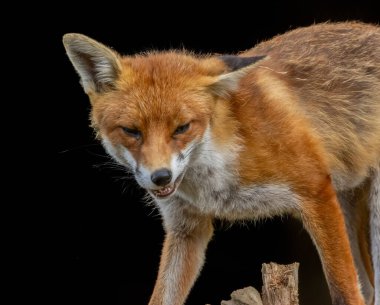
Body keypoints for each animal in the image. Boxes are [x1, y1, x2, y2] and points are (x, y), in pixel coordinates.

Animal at [63, 21, 380, 304]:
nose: (161, 177)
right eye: (131, 131)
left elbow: (345, 292)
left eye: (182, 128)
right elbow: (162, 297)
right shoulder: (187, 228)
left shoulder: (316, 189)